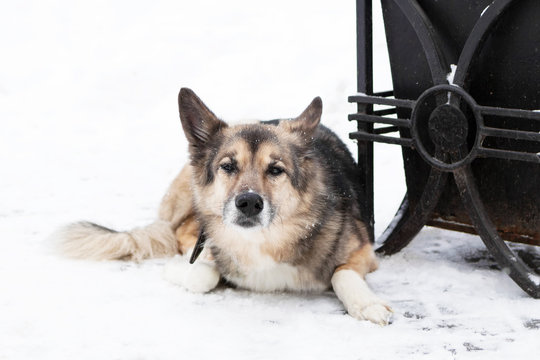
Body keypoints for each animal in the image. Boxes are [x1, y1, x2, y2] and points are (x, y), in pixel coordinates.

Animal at [54, 88, 392, 324]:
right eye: (228, 166)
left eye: (276, 170)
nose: (249, 203)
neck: (264, 242)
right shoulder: (208, 243)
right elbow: (202, 274)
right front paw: (180, 267)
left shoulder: (363, 250)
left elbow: (341, 274)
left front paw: (367, 303)